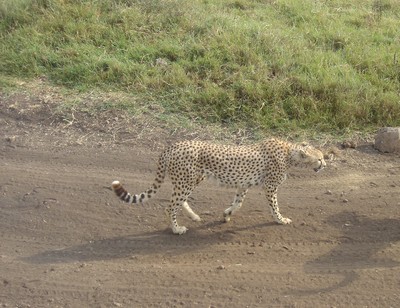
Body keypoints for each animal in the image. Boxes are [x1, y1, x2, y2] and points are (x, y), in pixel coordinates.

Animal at [110, 138, 324, 235]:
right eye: (320, 158)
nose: (325, 163)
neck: (290, 153)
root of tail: (173, 145)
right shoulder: (270, 187)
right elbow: (274, 206)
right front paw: (281, 219)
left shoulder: (243, 184)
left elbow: (238, 203)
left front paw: (227, 214)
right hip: (186, 181)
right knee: (170, 207)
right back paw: (177, 229)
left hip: (189, 180)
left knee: (179, 202)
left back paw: (193, 217)